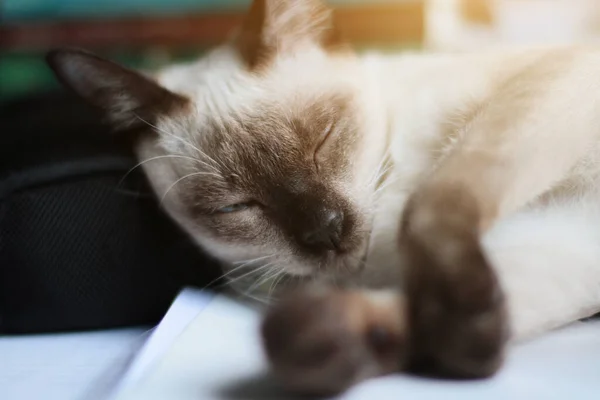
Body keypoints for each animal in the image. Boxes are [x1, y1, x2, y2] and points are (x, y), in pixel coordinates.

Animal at [48, 0, 600, 396]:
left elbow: (431, 209)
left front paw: (467, 341)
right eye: (236, 206)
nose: (326, 231)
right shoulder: (570, 238)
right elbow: (453, 313)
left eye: (324, 139)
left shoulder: (542, 102)